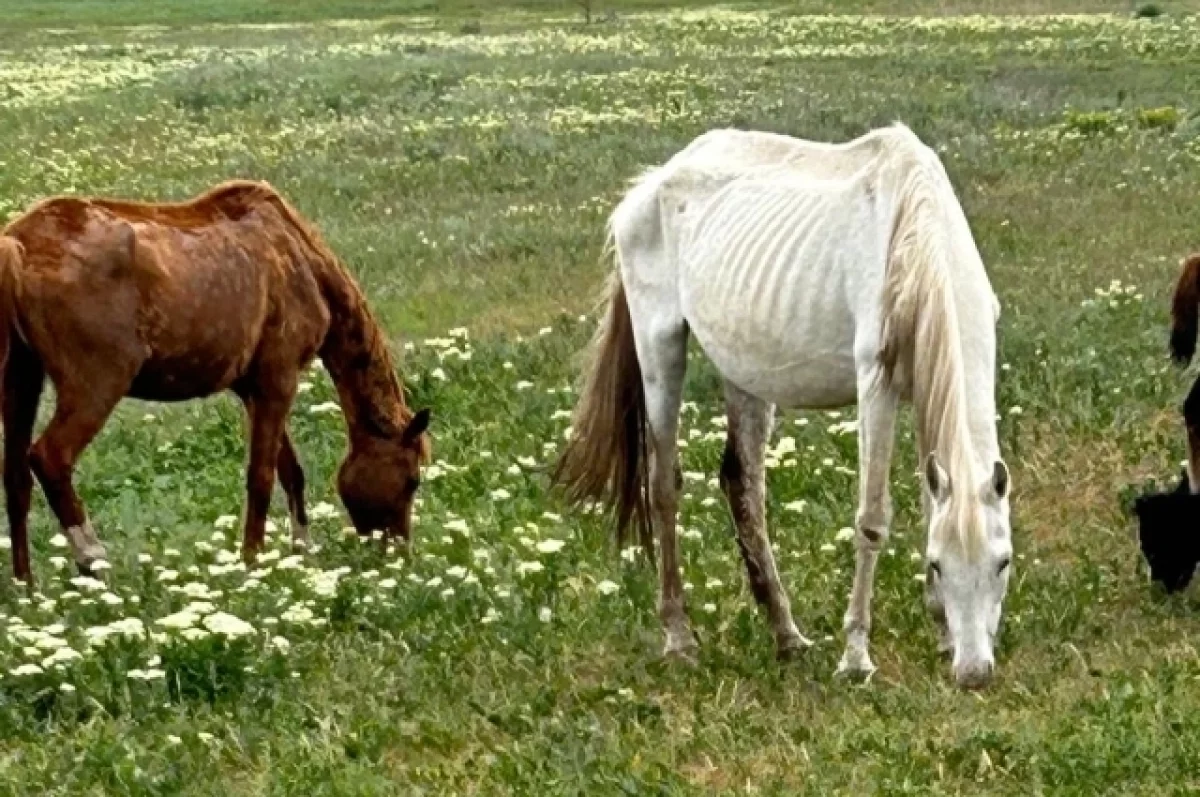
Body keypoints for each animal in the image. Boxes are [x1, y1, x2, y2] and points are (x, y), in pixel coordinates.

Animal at [0, 178, 432, 585]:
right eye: (412, 480)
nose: (399, 554)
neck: (301, 259)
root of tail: (18, 245)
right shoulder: (279, 379)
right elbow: (261, 477)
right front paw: (253, 562)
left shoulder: (253, 390)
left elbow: (290, 470)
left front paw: (299, 553)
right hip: (96, 386)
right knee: (49, 458)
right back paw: (92, 560)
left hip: (20, 381)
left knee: (16, 478)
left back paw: (27, 586)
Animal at [552, 121, 1012, 686]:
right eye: (939, 564)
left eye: (1003, 562)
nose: (974, 672)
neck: (914, 234)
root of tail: (650, 183)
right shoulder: (876, 383)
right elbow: (872, 519)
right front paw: (856, 655)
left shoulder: (927, 387)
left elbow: (932, 502)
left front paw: (942, 633)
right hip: (659, 345)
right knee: (662, 486)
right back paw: (679, 637)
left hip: (743, 367)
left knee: (741, 484)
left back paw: (786, 635)